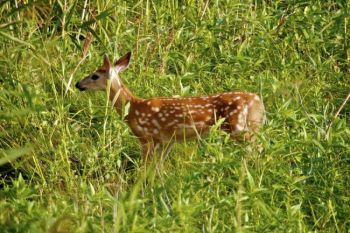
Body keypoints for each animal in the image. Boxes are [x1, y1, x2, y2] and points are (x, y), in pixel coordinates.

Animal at [74, 52, 266, 162]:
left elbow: (144, 168)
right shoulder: (166, 141)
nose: (77, 84)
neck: (133, 108)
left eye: (94, 75)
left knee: (256, 149)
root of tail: (257, 101)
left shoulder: (146, 137)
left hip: (239, 128)